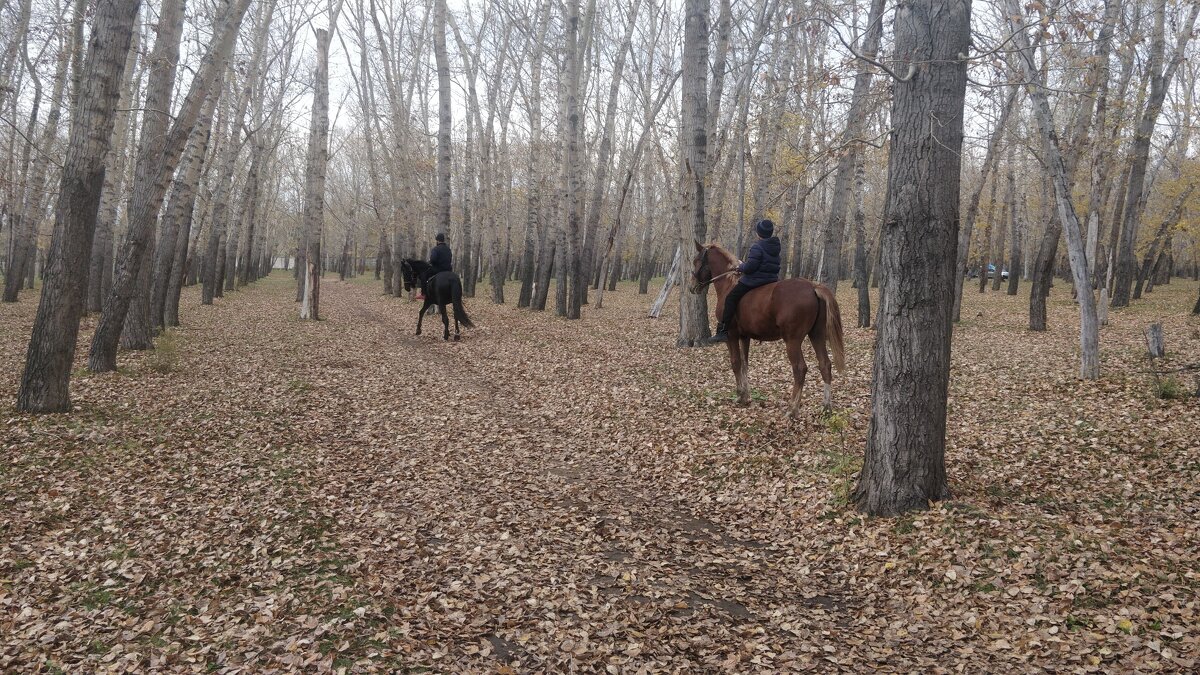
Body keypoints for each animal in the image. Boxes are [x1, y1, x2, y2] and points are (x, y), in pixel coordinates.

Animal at [691, 241, 849, 417]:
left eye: (696, 261)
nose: (692, 287)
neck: (729, 285)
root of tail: (813, 286)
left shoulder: (731, 335)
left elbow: (736, 363)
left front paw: (740, 396)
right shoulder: (744, 337)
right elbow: (745, 364)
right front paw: (746, 396)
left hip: (792, 341)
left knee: (800, 369)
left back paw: (792, 409)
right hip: (817, 335)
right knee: (825, 364)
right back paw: (826, 407)